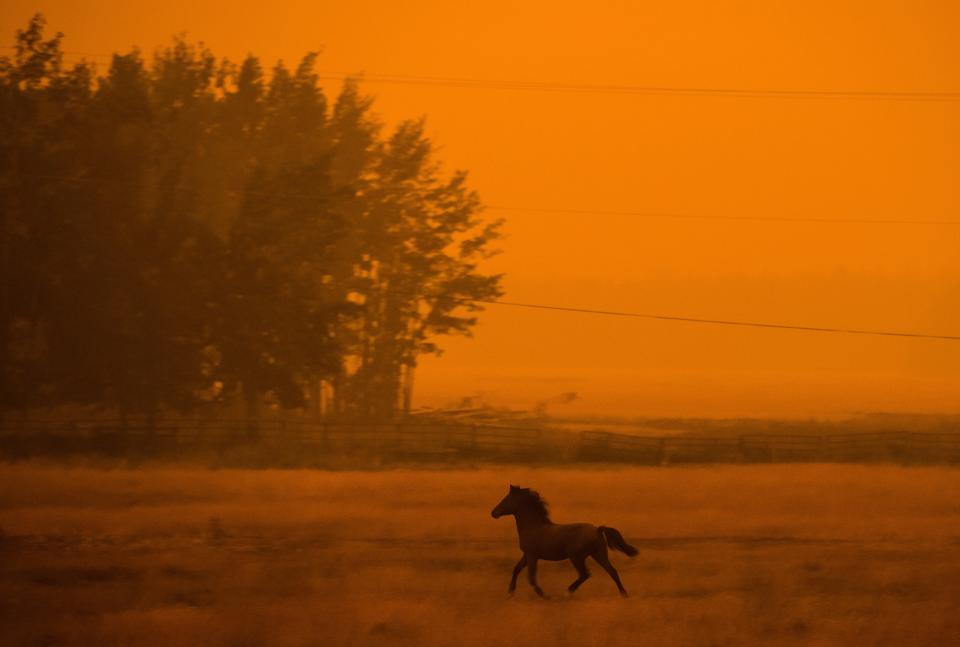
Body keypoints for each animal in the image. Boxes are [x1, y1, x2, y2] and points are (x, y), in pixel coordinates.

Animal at [492, 484, 640, 600]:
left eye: (506, 499)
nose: (493, 513)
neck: (533, 526)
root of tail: (598, 529)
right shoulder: (527, 555)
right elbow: (516, 569)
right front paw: (510, 592)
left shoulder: (532, 555)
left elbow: (531, 578)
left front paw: (545, 596)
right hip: (598, 554)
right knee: (612, 571)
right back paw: (624, 594)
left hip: (576, 557)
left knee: (585, 574)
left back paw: (567, 592)